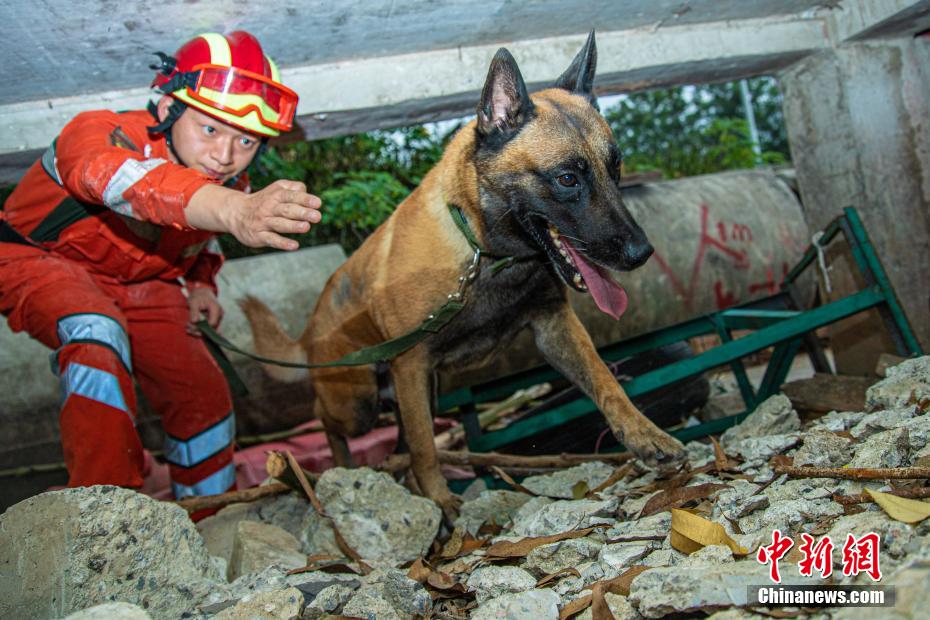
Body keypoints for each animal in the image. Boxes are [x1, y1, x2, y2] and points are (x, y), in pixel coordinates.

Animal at [243, 34, 684, 520]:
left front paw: (644, 433)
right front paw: (439, 501)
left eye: (616, 168)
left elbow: (605, 381)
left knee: (400, 440)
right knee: (331, 421)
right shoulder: (411, 363)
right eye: (567, 178)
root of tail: (310, 326)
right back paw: (335, 467)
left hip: (414, 392)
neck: (485, 250)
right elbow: (425, 447)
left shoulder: (555, 328)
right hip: (357, 403)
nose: (642, 253)